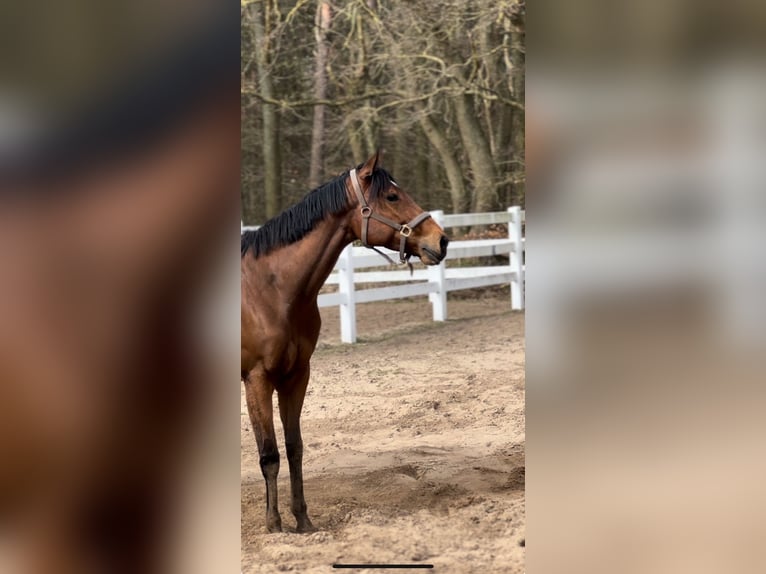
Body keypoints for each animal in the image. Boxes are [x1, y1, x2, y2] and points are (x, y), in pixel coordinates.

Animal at [243, 151, 450, 532]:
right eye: (392, 196)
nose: (441, 241)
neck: (270, 288)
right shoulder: (258, 379)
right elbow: (269, 454)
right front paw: (274, 524)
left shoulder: (296, 376)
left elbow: (294, 447)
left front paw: (303, 520)